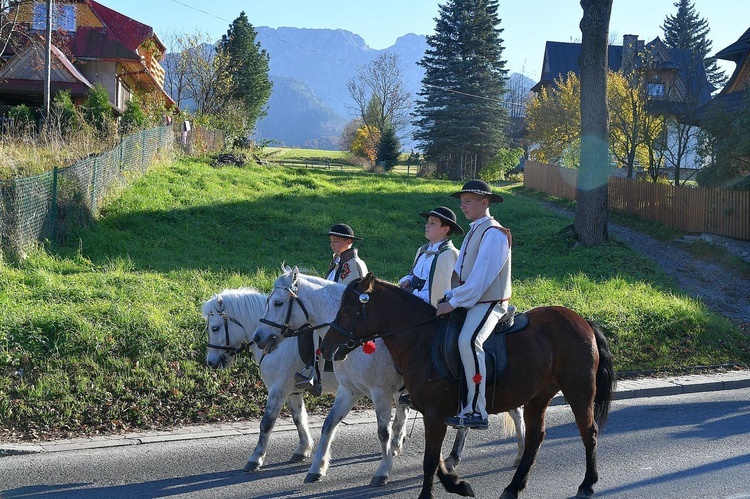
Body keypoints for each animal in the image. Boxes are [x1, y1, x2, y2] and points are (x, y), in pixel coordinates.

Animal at [203, 290, 338, 472]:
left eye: (215, 328)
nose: (211, 362)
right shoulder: (292, 391)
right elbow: (298, 418)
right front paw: (303, 449)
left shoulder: (277, 389)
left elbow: (267, 423)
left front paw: (256, 458)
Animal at [256, 268, 524, 486]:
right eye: (267, 301)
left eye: (278, 302)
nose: (259, 337)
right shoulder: (349, 390)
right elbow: (329, 424)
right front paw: (317, 468)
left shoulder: (380, 392)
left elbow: (383, 431)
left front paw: (383, 470)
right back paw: (455, 457)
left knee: (514, 412)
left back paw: (517, 453)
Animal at [320, 274, 612, 499]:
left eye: (348, 309)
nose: (326, 346)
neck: (420, 338)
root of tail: (582, 321)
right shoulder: (433, 413)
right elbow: (436, 457)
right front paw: (457, 484)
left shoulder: (434, 413)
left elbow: (430, 460)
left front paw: (430, 492)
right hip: (538, 396)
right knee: (534, 438)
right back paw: (513, 487)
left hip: (579, 391)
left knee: (589, 432)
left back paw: (587, 484)